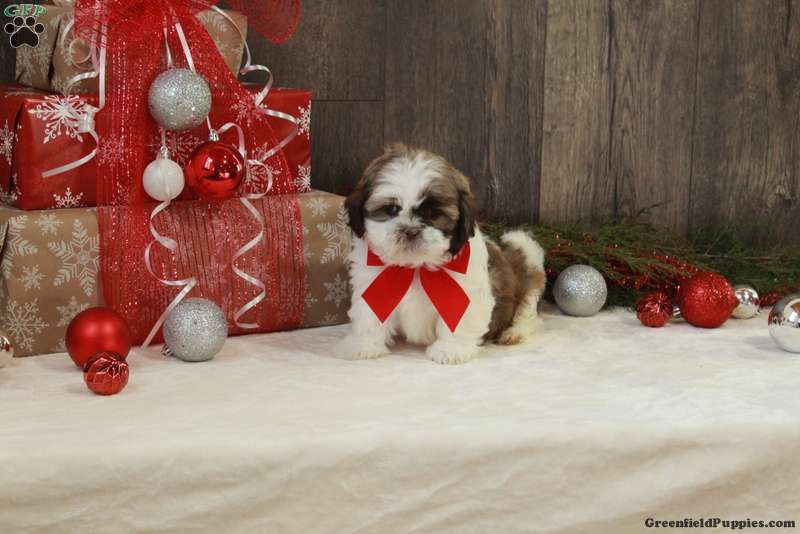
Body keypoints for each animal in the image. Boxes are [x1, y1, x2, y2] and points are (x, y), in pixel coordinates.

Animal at [333, 143, 546, 364]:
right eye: (391, 209)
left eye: (433, 214)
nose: (411, 231)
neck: (415, 268)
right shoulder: (372, 282)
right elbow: (370, 314)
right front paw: (362, 345)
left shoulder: (466, 289)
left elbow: (458, 318)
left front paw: (452, 349)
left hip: (529, 274)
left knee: (528, 314)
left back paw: (513, 333)